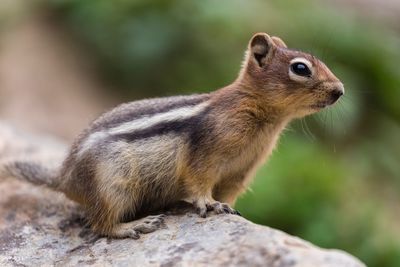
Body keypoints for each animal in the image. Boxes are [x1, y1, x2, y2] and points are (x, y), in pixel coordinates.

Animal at [0, 32, 344, 240]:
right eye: (300, 68)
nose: (340, 91)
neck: (260, 116)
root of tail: (64, 178)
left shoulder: (241, 171)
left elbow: (229, 193)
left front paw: (228, 208)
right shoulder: (206, 153)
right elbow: (199, 180)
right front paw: (209, 204)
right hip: (113, 185)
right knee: (101, 224)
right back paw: (134, 225)